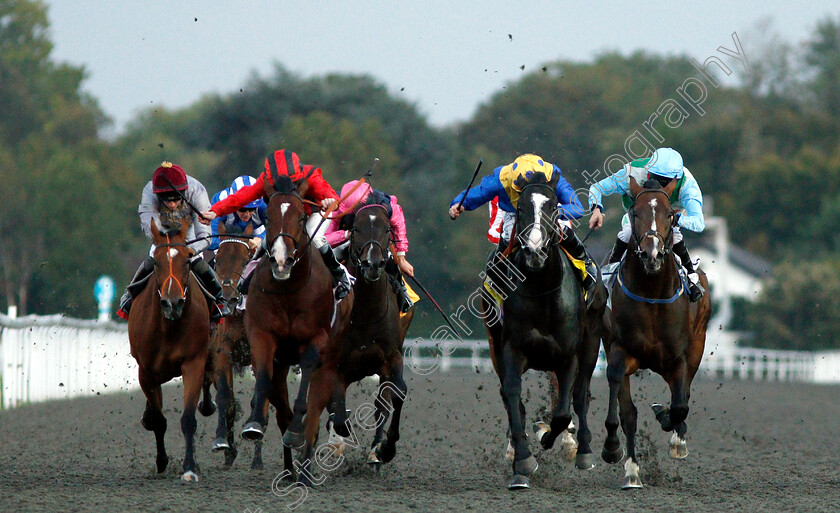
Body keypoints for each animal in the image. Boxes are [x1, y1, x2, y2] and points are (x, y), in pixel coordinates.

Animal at [130, 217, 213, 480]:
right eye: (156, 261)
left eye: (187, 260)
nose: (172, 303)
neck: (168, 327)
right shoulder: (146, 370)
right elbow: (158, 420)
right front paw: (161, 461)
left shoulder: (193, 363)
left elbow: (188, 419)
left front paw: (189, 468)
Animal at [238, 173, 352, 484]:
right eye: (268, 215)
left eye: (301, 216)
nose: (281, 260)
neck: (289, 289)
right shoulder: (262, 336)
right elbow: (265, 381)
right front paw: (254, 422)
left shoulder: (316, 340)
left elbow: (306, 402)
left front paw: (297, 433)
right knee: (281, 405)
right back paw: (291, 469)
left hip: (331, 361)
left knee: (314, 408)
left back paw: (306, 468)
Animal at [326, 203, 416, 464]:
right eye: (356, 228)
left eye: (387, 229)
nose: (372, 264)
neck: (365, 312)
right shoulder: (336, 365)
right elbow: (338, 413)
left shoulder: (391, 356)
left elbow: (396, 395)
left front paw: (385, 449)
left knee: (382, 403)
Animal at [480, 172, 604, 488]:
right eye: (521, 208)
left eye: (552, 208)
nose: (534, 250)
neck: (541, 293)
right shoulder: (510, 349)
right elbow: (513, 395)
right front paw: (522, 459)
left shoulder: (569, 355)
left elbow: (562, 411)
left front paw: (548, 436)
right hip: (493, 343)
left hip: (592, 342)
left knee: (580, 395)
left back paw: (583, 449)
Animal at [600, 176, 712, 488]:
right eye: (635, 213)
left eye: (670, 214)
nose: (652, 256)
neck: (650, 294)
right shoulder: (619, 350)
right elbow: (625, 410)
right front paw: (623, 461)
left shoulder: (679, 358)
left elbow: (680, 405)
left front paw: (671, 428)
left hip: (697, 346)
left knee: (684, 395)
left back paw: (676, 434)